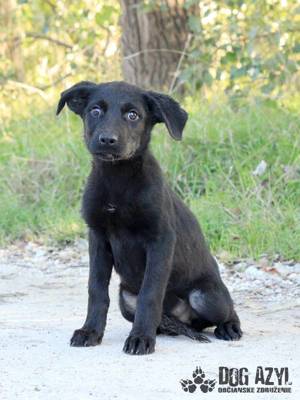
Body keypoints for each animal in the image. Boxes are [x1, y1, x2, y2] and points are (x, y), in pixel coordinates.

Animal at [56, 79, 241, 354]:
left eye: (133, 115)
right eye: (95, 111)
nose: (107, 140)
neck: (118, 180)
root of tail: (185, 318)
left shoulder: (160, 240)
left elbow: (150, 293)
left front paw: (141, 337)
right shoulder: (98, 237)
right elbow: (96, 290)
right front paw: (90, 331)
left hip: (207, 297)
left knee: (228, 308)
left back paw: (228, 327)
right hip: (125, 299)